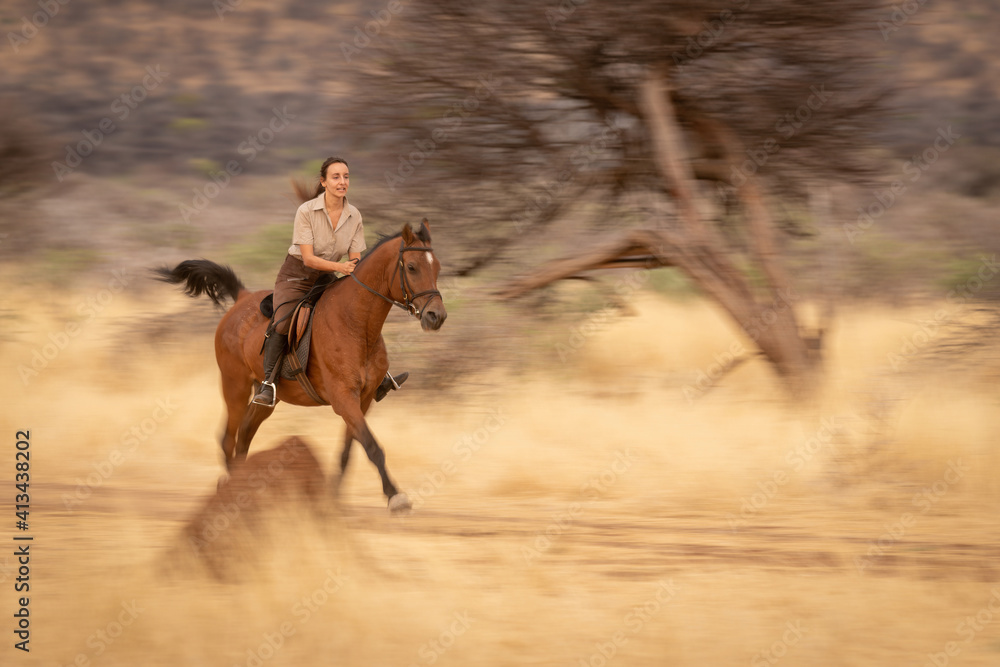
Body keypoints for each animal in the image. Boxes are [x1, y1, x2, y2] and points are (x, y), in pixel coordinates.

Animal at [156, 222, 446, 516]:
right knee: (227, 438)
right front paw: (396, 497)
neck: (356, 324)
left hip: (267, 397)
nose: (436, 317)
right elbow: (373, 447)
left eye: (437, 268)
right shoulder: (343, 398)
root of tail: (242, 298)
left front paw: (332, 498)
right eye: (412, 267)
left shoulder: (362, 400)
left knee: (245, 434)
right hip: (234, 386)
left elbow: (349, 450)